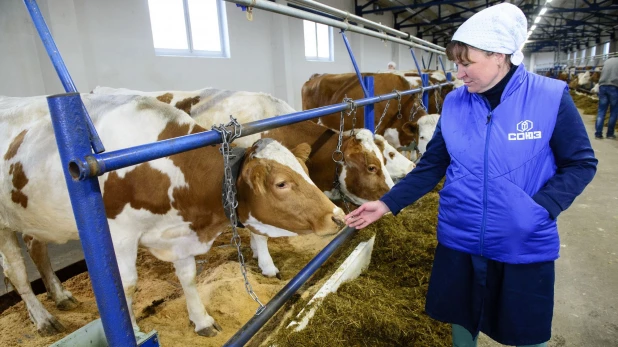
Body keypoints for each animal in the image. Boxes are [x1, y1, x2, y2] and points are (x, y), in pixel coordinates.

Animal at [0, 94, 342, 338]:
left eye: (306, 171)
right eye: (281, 184)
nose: (337, 216)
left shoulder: (180, 230)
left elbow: (188, 276)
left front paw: (202, 320)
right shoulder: (118, 236)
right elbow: (125, 287)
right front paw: (134, 330)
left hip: (35, 219)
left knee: (35, 246)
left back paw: (59, 296)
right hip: (4, 225)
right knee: (17, 273)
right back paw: (43, 318)